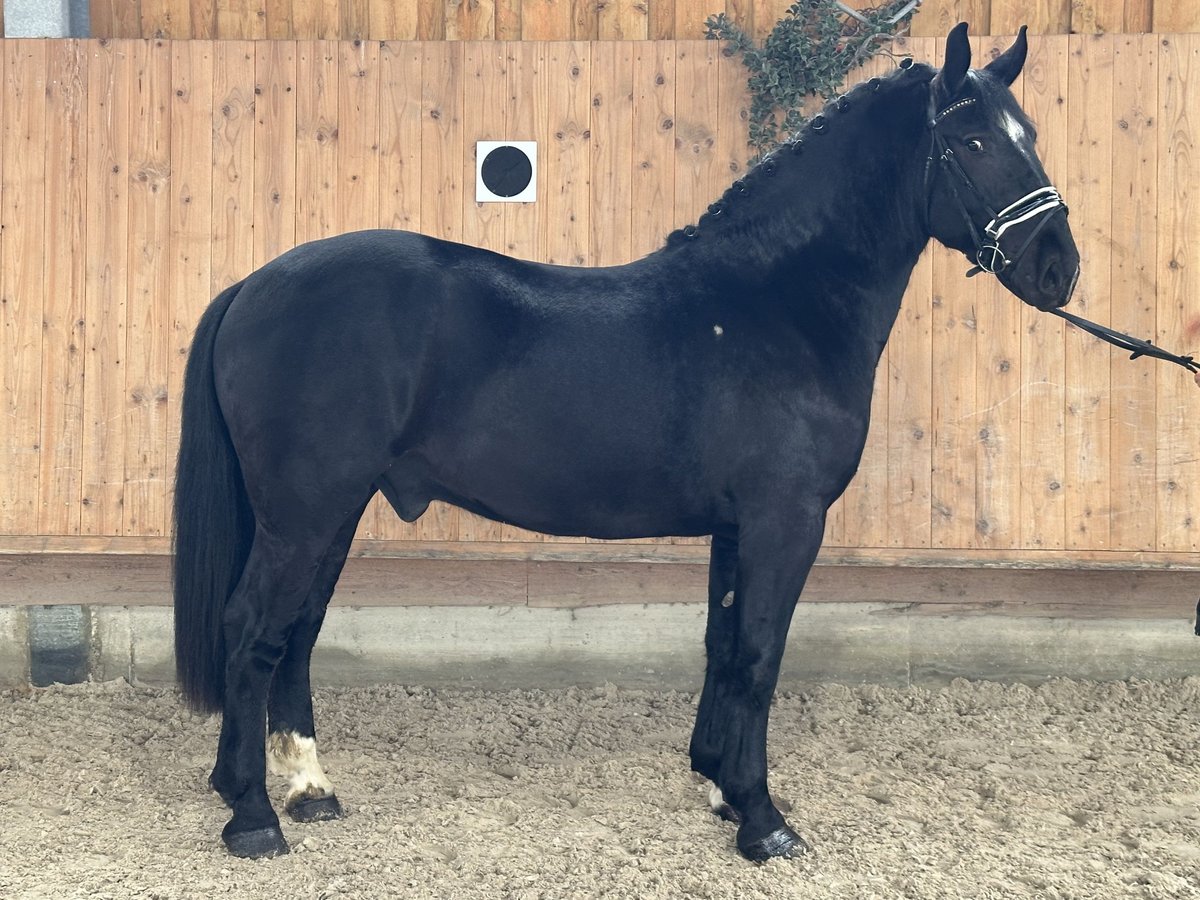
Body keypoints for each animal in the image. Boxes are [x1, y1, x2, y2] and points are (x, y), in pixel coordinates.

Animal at [175, 24, 1080, 864]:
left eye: (1032, 134)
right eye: (972, 142)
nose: (1059, 269)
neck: (775, 302)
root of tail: (253, 285)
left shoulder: (736, 528)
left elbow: (723, 646)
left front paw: (718, 784)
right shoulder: (785, 521)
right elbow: (760, 655)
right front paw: (763, 820)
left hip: (330, 511)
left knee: (295, 631)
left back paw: (303, 788)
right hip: (305, 512)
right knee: (252, 626)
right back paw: (252, 817)